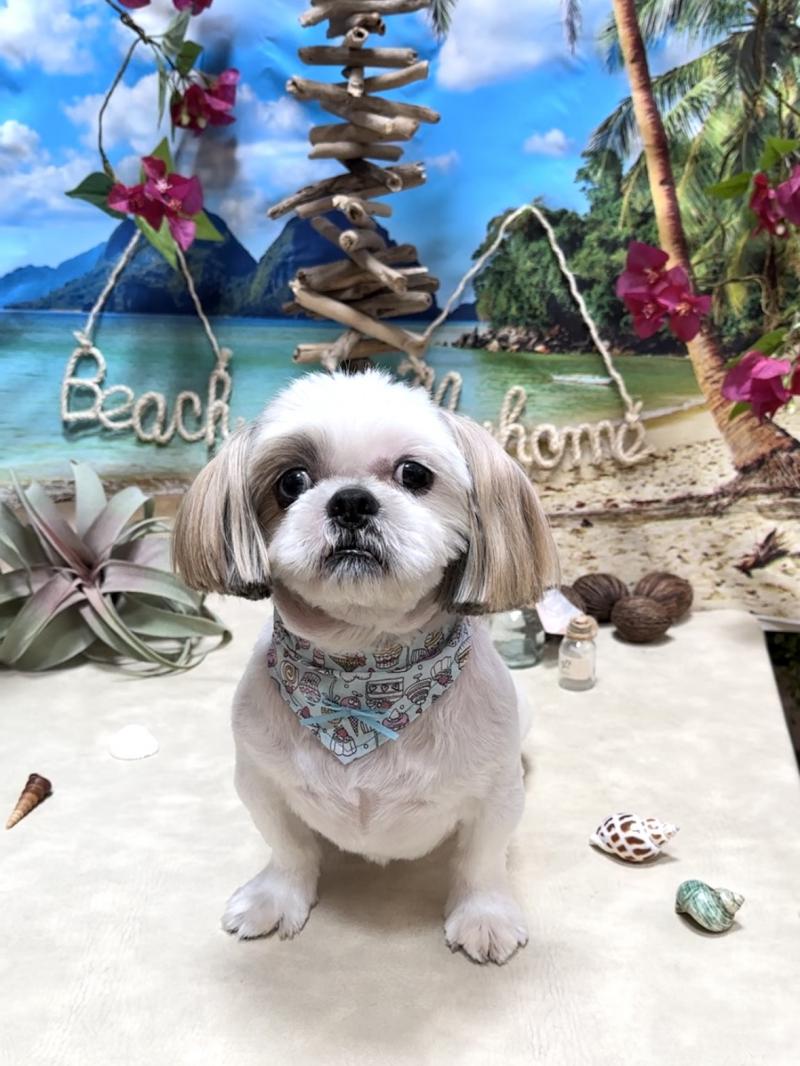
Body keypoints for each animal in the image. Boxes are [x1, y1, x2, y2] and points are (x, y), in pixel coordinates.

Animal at [173, 370, 559, 964]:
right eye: (291, 481)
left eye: (414, 474)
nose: (351, 501)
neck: (362, 676)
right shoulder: (260, 783)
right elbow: (288, 848)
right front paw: (274, 897)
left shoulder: (496, 796)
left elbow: (481, 860)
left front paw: (485, 916)